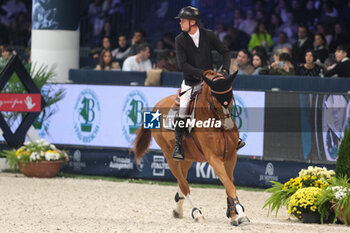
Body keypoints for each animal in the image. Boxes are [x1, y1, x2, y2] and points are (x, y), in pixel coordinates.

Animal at [133, 69, 250, 226]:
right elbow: (229, 185)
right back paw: (197, 213)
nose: (228, 125)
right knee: (184, 184)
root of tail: (157, 105)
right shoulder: (214, 158)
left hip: (187, 158)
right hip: (169, 156)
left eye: (230, 96)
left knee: (182, 179)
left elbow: (228, 184)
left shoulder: (231, 156)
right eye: (215, 99)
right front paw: (241, 215)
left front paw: (233, 214)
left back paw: (178, 209)